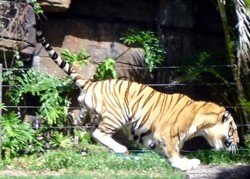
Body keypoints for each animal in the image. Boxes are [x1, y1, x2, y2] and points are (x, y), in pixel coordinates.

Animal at [34, 22, 239, 171]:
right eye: (233, 129)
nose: (238, 142)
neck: (202, 125)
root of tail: (92, 83)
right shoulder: (167, 134)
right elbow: (173, 151)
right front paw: (183, 164)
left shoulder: (153, 136)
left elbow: (168, 151)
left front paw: (184, 161)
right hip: (117, 115)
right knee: (99, 132)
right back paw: (121, 149)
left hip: (102, 115)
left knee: (92, 130)